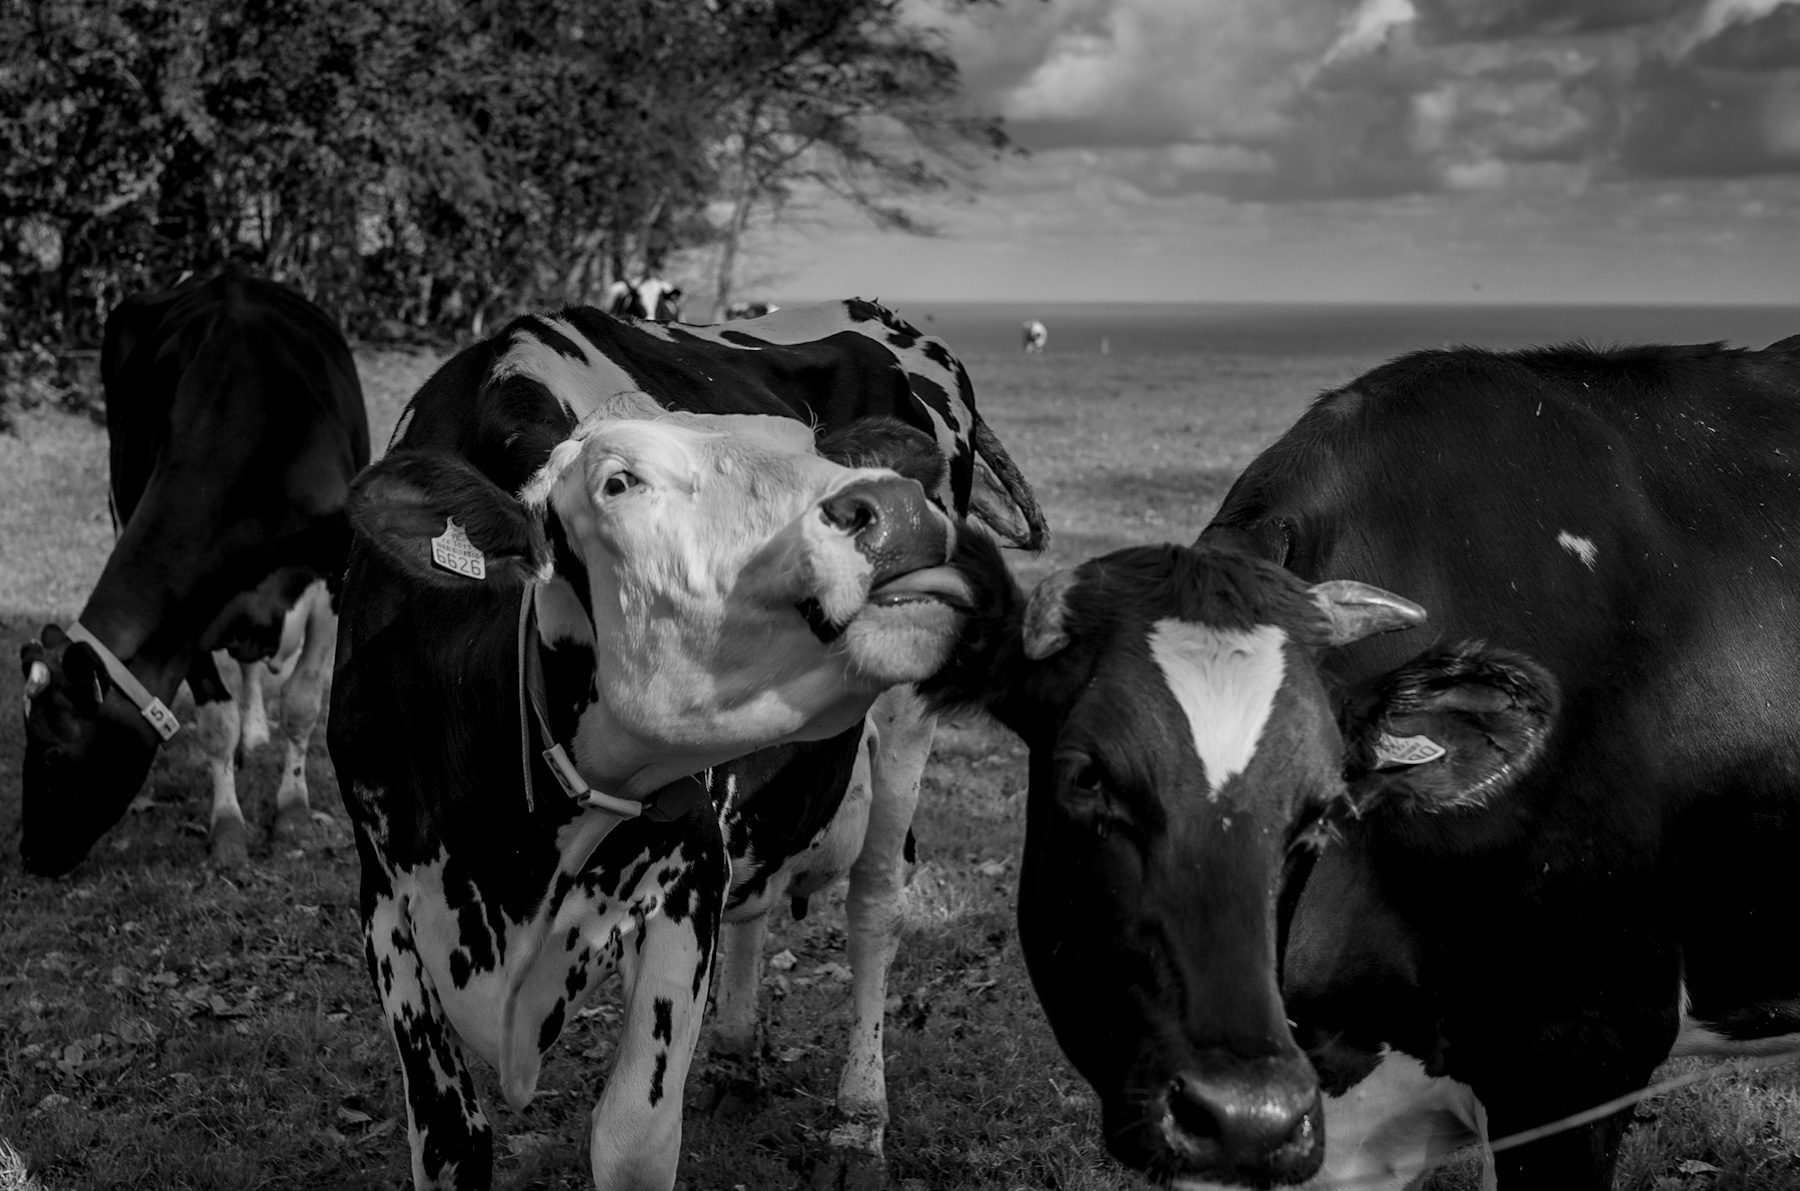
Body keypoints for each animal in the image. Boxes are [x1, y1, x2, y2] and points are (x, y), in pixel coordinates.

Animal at [19, 267, 371, 876]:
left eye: (51, 755)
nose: (27, 854)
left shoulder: (330, 575)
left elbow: (303, 703)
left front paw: (293, 812)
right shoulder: (189, 623)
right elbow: (214, 723)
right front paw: (227, 828)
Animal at [329, 299, 1045, 1190]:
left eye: (815, 451)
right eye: (617, 482)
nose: (902, 508)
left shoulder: (689, 865)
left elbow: (632, 1137)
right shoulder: (385, 897)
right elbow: (452, 1142)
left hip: (907, 714)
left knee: (876, 899)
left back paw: (857, 1124)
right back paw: (738, 1058)